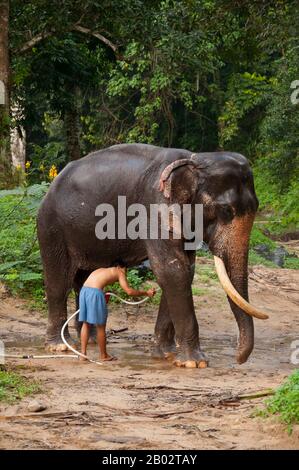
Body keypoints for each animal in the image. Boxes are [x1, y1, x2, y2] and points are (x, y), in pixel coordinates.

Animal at [37, 143, 270, 368]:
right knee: (59, 283)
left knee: (84, 280)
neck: (194, 159)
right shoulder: (155, 207)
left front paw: (166, 354)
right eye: (226, 210)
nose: (238, 359)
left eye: (256, 207)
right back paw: (60, 346)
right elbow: (172, 271)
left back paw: (92, 340)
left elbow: (185, 271)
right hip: (52, 228)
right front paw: (195, 362)